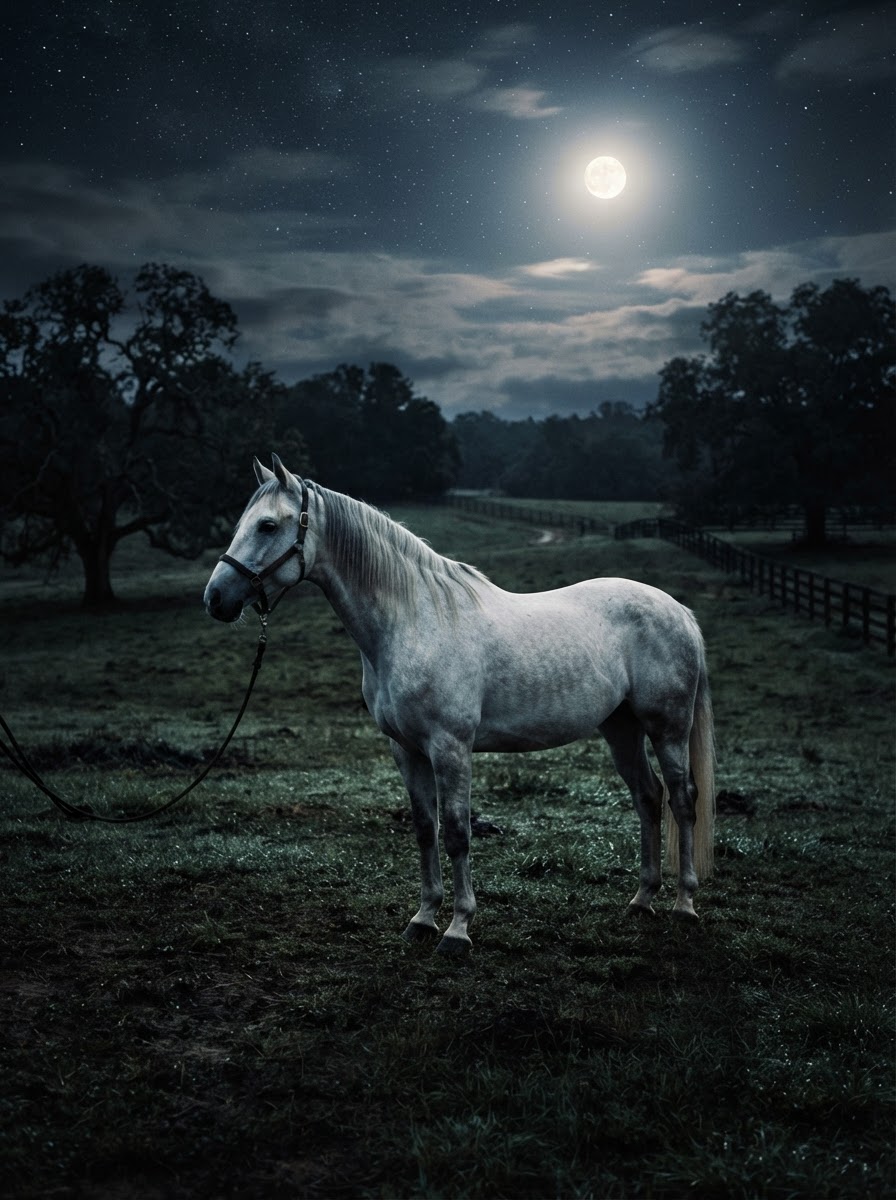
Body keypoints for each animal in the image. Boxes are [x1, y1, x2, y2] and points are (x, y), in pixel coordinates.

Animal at [203, 455, 716, 956]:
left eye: (268, 525)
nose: (216, 598)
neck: (413, 622)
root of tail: (680, 611)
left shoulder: (450, 748)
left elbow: (455, 832)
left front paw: (457, 929)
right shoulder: (406, 750)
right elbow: (424, 829)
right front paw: (423, 919)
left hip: (667, 727)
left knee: (681, 799)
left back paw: (684, 905)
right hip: (621, 727)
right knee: (648, 797)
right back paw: (642, 900)